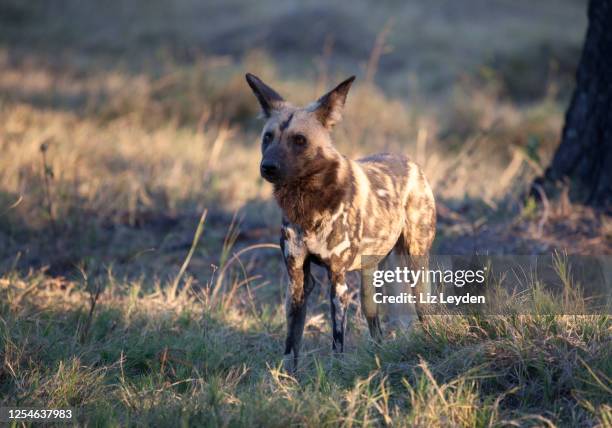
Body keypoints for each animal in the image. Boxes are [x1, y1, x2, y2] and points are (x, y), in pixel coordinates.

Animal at [246, 73, 438, 372]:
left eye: (299, 140)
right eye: (267, 137)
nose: (268, 167)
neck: (306, 202)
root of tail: (410, 162)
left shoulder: (337, 279)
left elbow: (337, 342)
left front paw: (335, 374)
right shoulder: (298, 279)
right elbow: (292, 343)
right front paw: (288, 379)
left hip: (415, 265)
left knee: (424, 311)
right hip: (370, 282)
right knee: (376, 327)